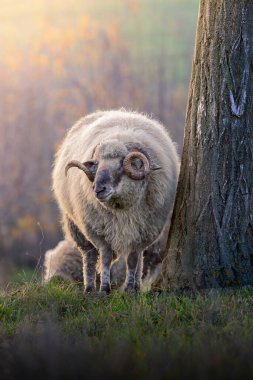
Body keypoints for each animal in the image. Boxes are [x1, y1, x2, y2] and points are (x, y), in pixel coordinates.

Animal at [52, 110, 180, 294]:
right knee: (89, 256)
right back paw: (89, 288)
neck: (122, 208)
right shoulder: (100, 231)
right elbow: (105, 258)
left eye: (120, 165)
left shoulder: (143, 232)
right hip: (77, 226)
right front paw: (105, 288)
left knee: (140, 258)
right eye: (96, 165)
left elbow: (133, 259)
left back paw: (136, 286)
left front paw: (129, 289)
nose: (98, 190)